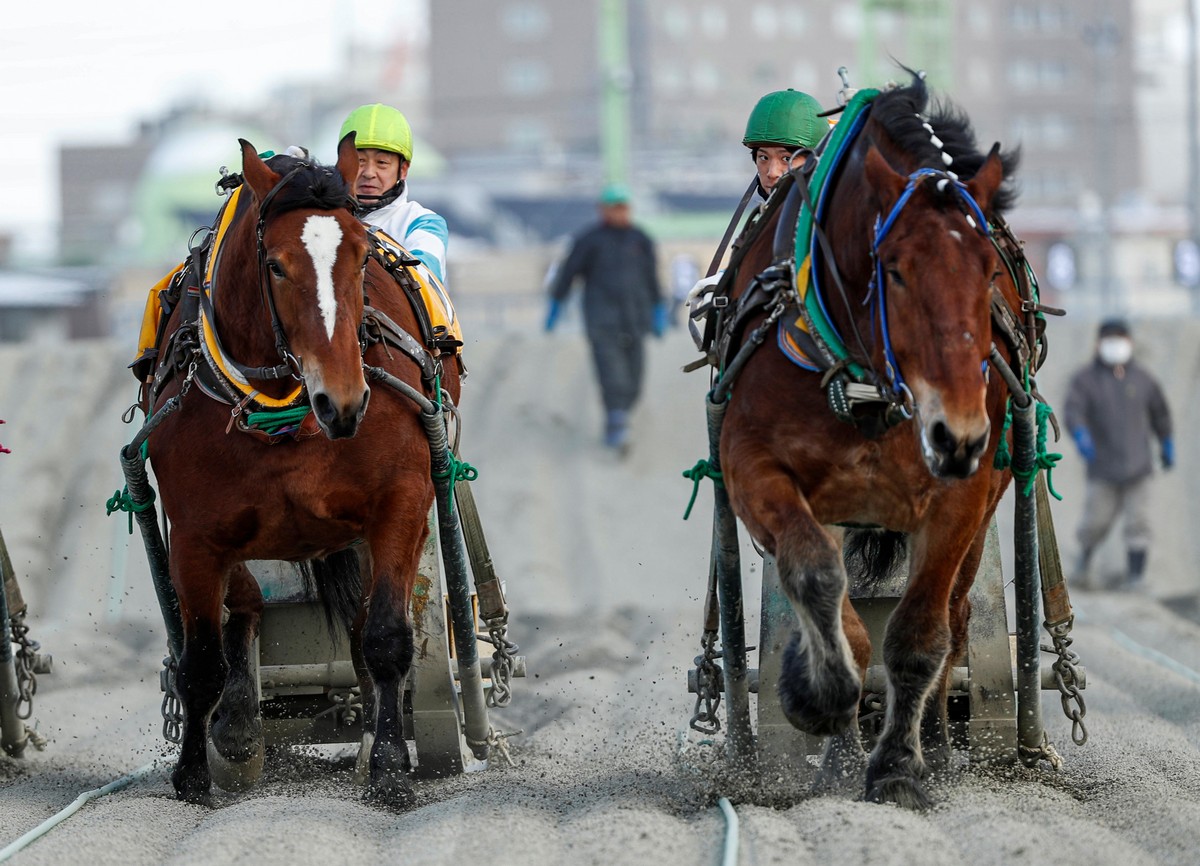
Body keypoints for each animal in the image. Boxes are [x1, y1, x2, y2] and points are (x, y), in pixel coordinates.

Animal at [140, 133, 456, 801]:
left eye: (361, 259)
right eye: (277, 265)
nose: (344, 401)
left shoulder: (402, 500)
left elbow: (385, 637)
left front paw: (390, 768)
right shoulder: (195, 533)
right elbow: (201, 658)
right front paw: (196, 772)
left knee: (365, 631)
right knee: (247, 606)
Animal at [710, 77, 1032, 806]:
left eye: (989, 271)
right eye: (897, 269)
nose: (956, 431)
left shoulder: (964, 492)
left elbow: (921, 632)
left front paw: (900, 768)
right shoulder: (755, 467)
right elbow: (817, 579)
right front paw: (821, 702)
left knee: (959, 617)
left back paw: (937, 747)